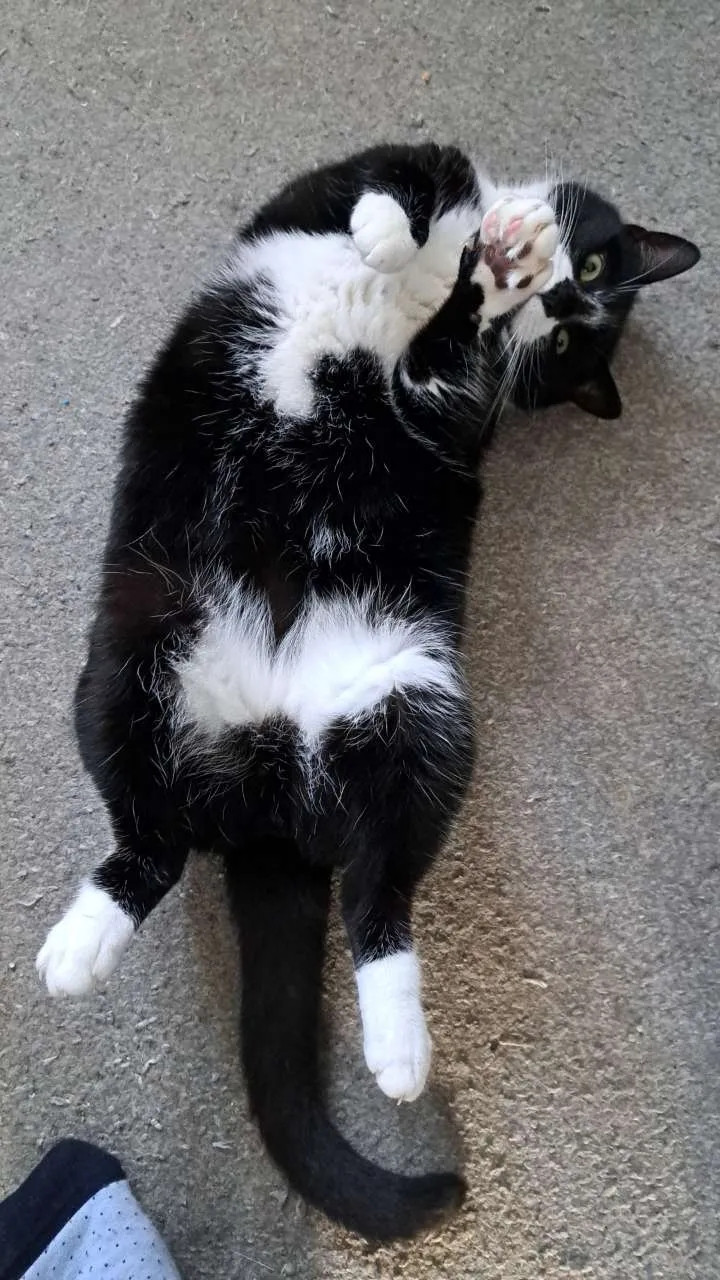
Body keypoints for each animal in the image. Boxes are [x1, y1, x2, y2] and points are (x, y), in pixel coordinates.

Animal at [35, 142, 696, 1239]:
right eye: (597, 273)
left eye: (569, 334)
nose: (560, 291)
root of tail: (269, 789)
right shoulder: (338, 184)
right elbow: (391, 185)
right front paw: (412, 237)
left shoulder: (441, 402)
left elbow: (443, 357)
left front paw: (487, 281)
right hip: (131, 642)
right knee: (150, 831)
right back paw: (85, 941)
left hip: (418, 700)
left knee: (370, 888)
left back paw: (393, 1047)